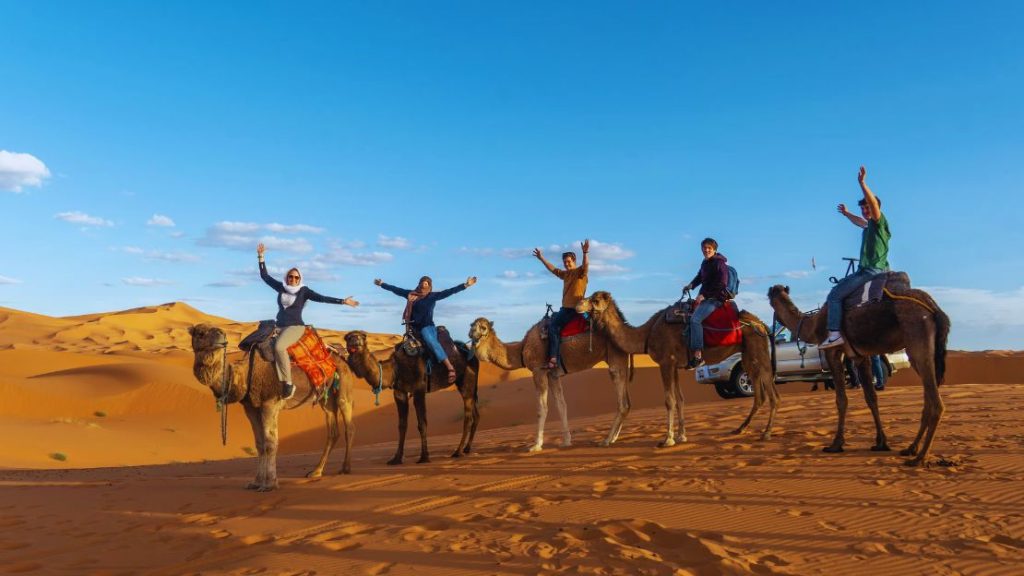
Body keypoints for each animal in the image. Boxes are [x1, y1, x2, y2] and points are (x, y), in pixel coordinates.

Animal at [189, 324, 355, 491]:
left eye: (219, 332)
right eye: (200, 333)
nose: (221, 335)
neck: (244, 374)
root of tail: (340, 355)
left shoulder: (270, 403)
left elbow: (270, 442)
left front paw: (270, 484)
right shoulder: (250, 407)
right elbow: (259, 444)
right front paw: (256, 482)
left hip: (343, 388)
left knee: (348, 427)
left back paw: (345, 468)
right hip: (326, 398)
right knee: (333, 431)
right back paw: (316, 472)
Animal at [344, 330, 480, 464]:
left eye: (363, 336)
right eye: (348, 337)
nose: (355, 340)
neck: (395, 369)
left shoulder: (419, 389)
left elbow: (422, 423)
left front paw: (424, 457)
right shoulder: (399, 392)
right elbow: (402, 425)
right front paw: (397, 458)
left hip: (467, 380)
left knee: (468, 416)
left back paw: (458, 451)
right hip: (464, 384)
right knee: (475, 413)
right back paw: (467, 448)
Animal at [468, 315, 630, 452]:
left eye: (483, 328)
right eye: (471, 326)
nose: (471, 335)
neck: (522, 349)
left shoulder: (538, 370)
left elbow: (542, 408)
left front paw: (536, 445)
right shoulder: (553, 375)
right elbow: (561, 405)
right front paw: (566, 441)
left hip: (615, 357)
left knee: (623, 403)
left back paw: (607, 440)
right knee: (627, 403)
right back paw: (613, 438)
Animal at [576, 291, 779, 445]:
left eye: (595, 300)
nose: (578, 304)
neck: (646, 334)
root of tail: (761, 323)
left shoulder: (666, 362)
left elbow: (669, 401)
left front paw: (668, 439)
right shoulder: (674, 365)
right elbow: (680, 399)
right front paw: (682, 436)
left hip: (758, 351)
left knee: (772, 392)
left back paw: (767, 433)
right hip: (748, 356)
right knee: (759, 394)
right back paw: (740, 428)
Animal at [767, 284, 951, 466]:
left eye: (769, 299)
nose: (771, 332)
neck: (812, 324)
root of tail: (934, 309)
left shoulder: (832, 352)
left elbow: (841, 400)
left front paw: (836, 444)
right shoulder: (860, 357)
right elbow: (871, 398)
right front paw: (881, 443)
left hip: (917, 339)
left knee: (936, 403)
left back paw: (920, 458)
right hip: (923, 351)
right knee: (928, 398)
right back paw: (911, 449)